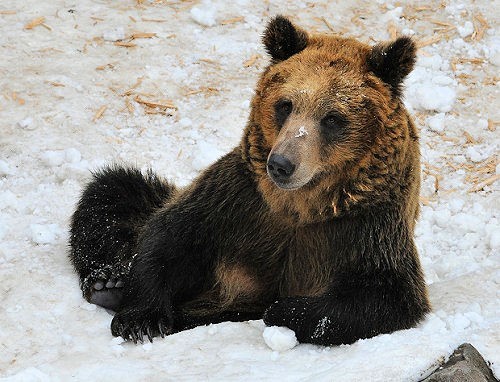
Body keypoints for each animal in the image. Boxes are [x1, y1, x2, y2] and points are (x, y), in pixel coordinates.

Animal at [69, 15, 430, 346]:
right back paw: (108, 283)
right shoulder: (238, 197)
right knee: (114, 193)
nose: (281, 164)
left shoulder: (365, 225)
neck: (299, 205)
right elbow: (170, 238)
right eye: (286, 105)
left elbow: (387, 295)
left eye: (332, 118)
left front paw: (284, 310)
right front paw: (139, 319)